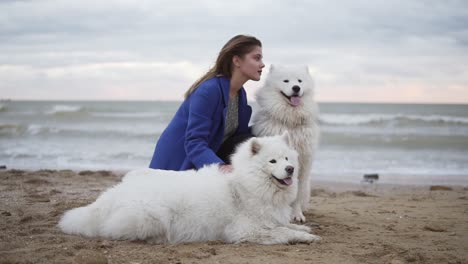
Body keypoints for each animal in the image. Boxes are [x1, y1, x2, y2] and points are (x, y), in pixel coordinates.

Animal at [59, 134, 322, 245]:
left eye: (287, 158)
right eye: (272, 161)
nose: (290, 169)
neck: (245, 186)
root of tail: (109, 197)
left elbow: (283, 225)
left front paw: (302, 227)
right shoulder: (244, 231)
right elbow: (281, 232)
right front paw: (305, 237)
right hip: (151, 215)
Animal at [252, 64, 322, 223]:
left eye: (300, 81)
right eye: (286, 81)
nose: (296, 88)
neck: (290, 120)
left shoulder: (303, 164)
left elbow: (296, 195)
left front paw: (297, 215)